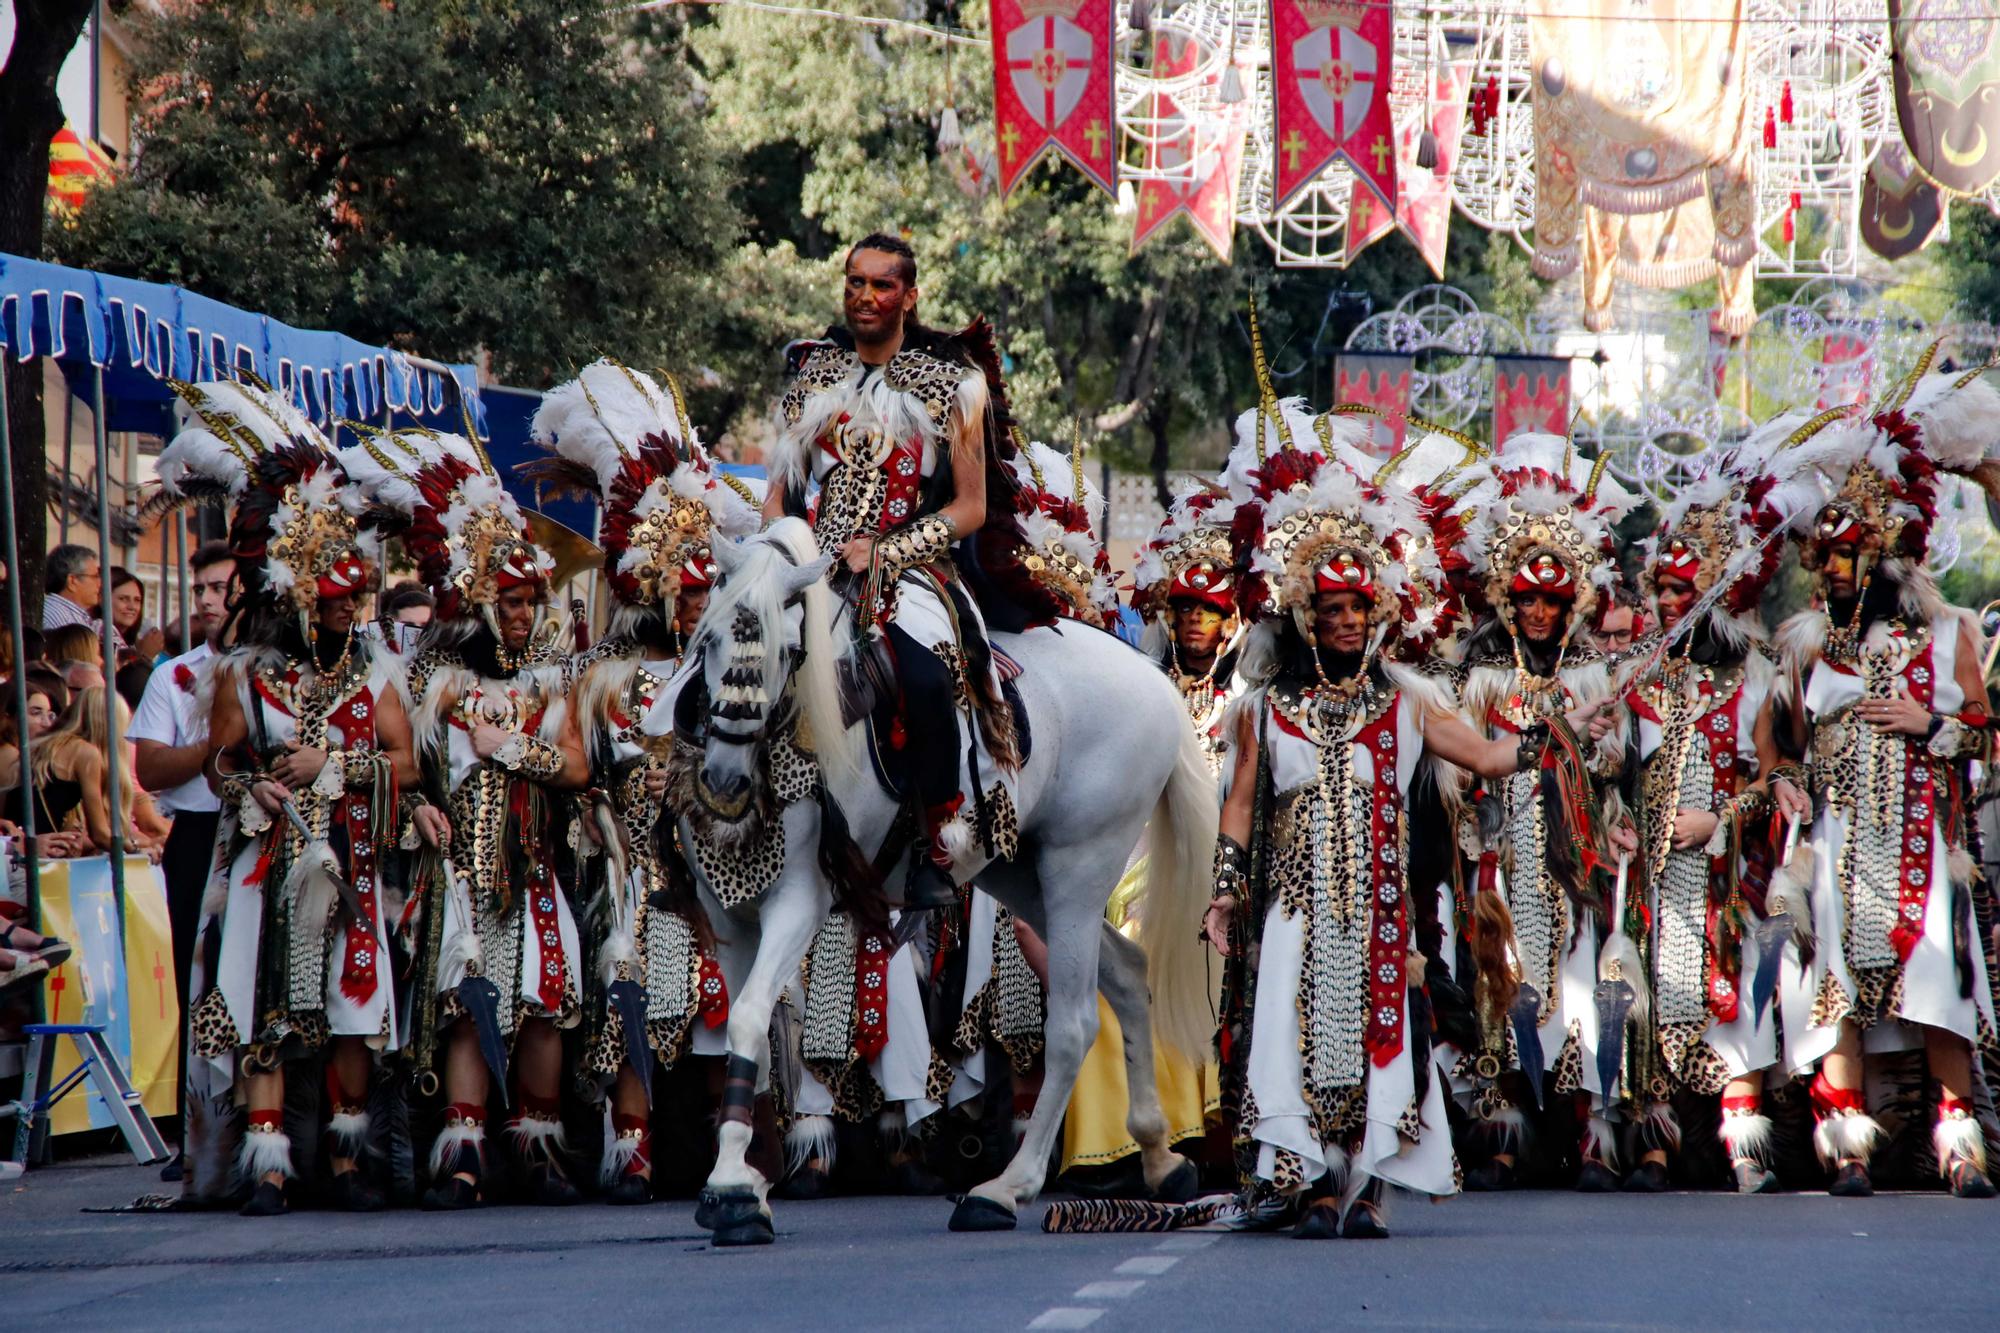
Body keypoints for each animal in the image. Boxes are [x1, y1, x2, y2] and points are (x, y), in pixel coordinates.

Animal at [664, 516, 1208, 1232]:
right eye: (711, 639)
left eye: (788, 650)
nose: (724, 782)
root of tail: (1153, 679)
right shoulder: (724, 911)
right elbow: (745, 1034)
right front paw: (744, 1178)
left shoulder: (799, 902)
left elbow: (752, 1017)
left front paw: (731, 1188)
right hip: (1019, 870)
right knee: (1124, 973)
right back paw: (1158, 1157)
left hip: (1082, 863)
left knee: (1072, 1026)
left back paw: (1005, 1188)